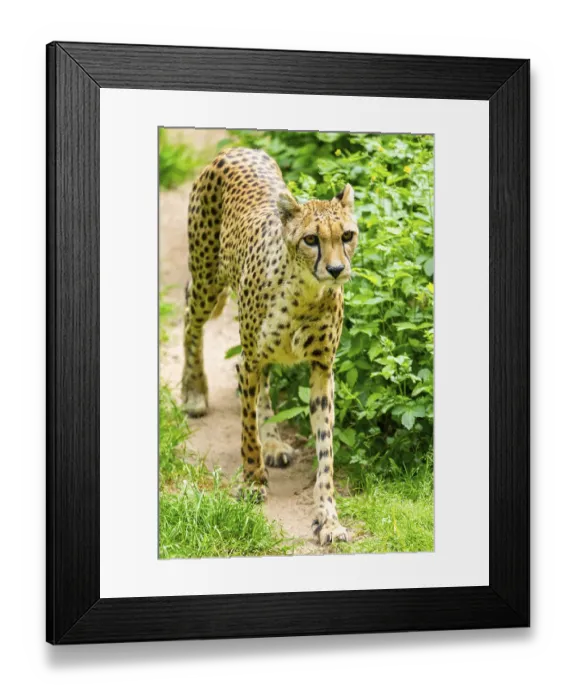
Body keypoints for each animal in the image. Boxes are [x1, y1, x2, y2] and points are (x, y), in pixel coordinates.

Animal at [181, 147, 358, 545]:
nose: (336, 269)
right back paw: (194, 392)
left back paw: (274, 443)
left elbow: (326, 449)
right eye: (311, 239)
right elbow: (247, 429)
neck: (305, 293)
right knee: (189, 318)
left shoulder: (322, 369)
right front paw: (252, 481)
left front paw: (328, 518)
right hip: (207, 280)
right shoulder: (249, 359)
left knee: (265, 384)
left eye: (347, 235)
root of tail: (237, 149)